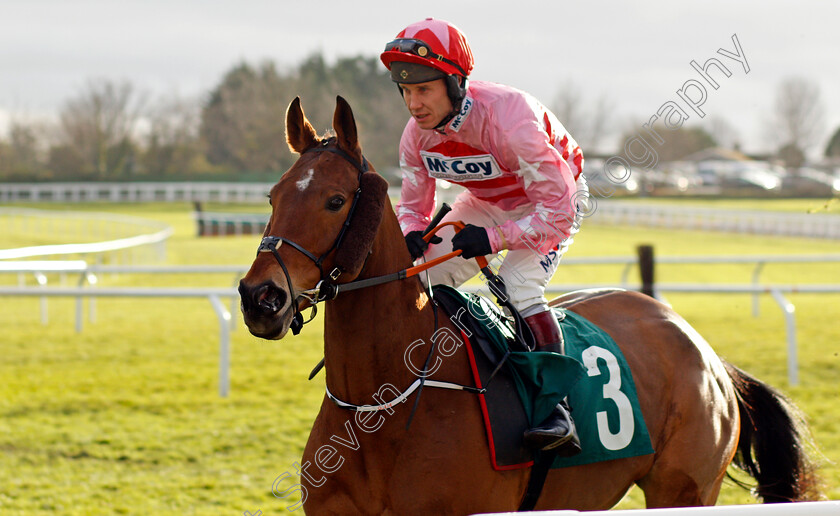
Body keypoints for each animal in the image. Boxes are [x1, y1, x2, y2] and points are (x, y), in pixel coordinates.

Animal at [238, 95, 820, 512]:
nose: (259, 298)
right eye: (273, 195)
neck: (381, 404)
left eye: (335, 200)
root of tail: (706, 352)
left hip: (684, 490)